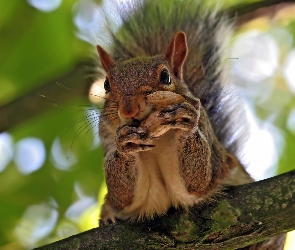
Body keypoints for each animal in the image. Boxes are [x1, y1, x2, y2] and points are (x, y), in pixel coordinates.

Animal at [94, 0, 286, 248]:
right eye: (106, 85)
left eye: (165, 77)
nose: (128, 110)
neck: (159, 141)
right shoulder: (108, 142)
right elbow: (121, 197)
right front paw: (125, 144)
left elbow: (198, 182)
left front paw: (186, 123)